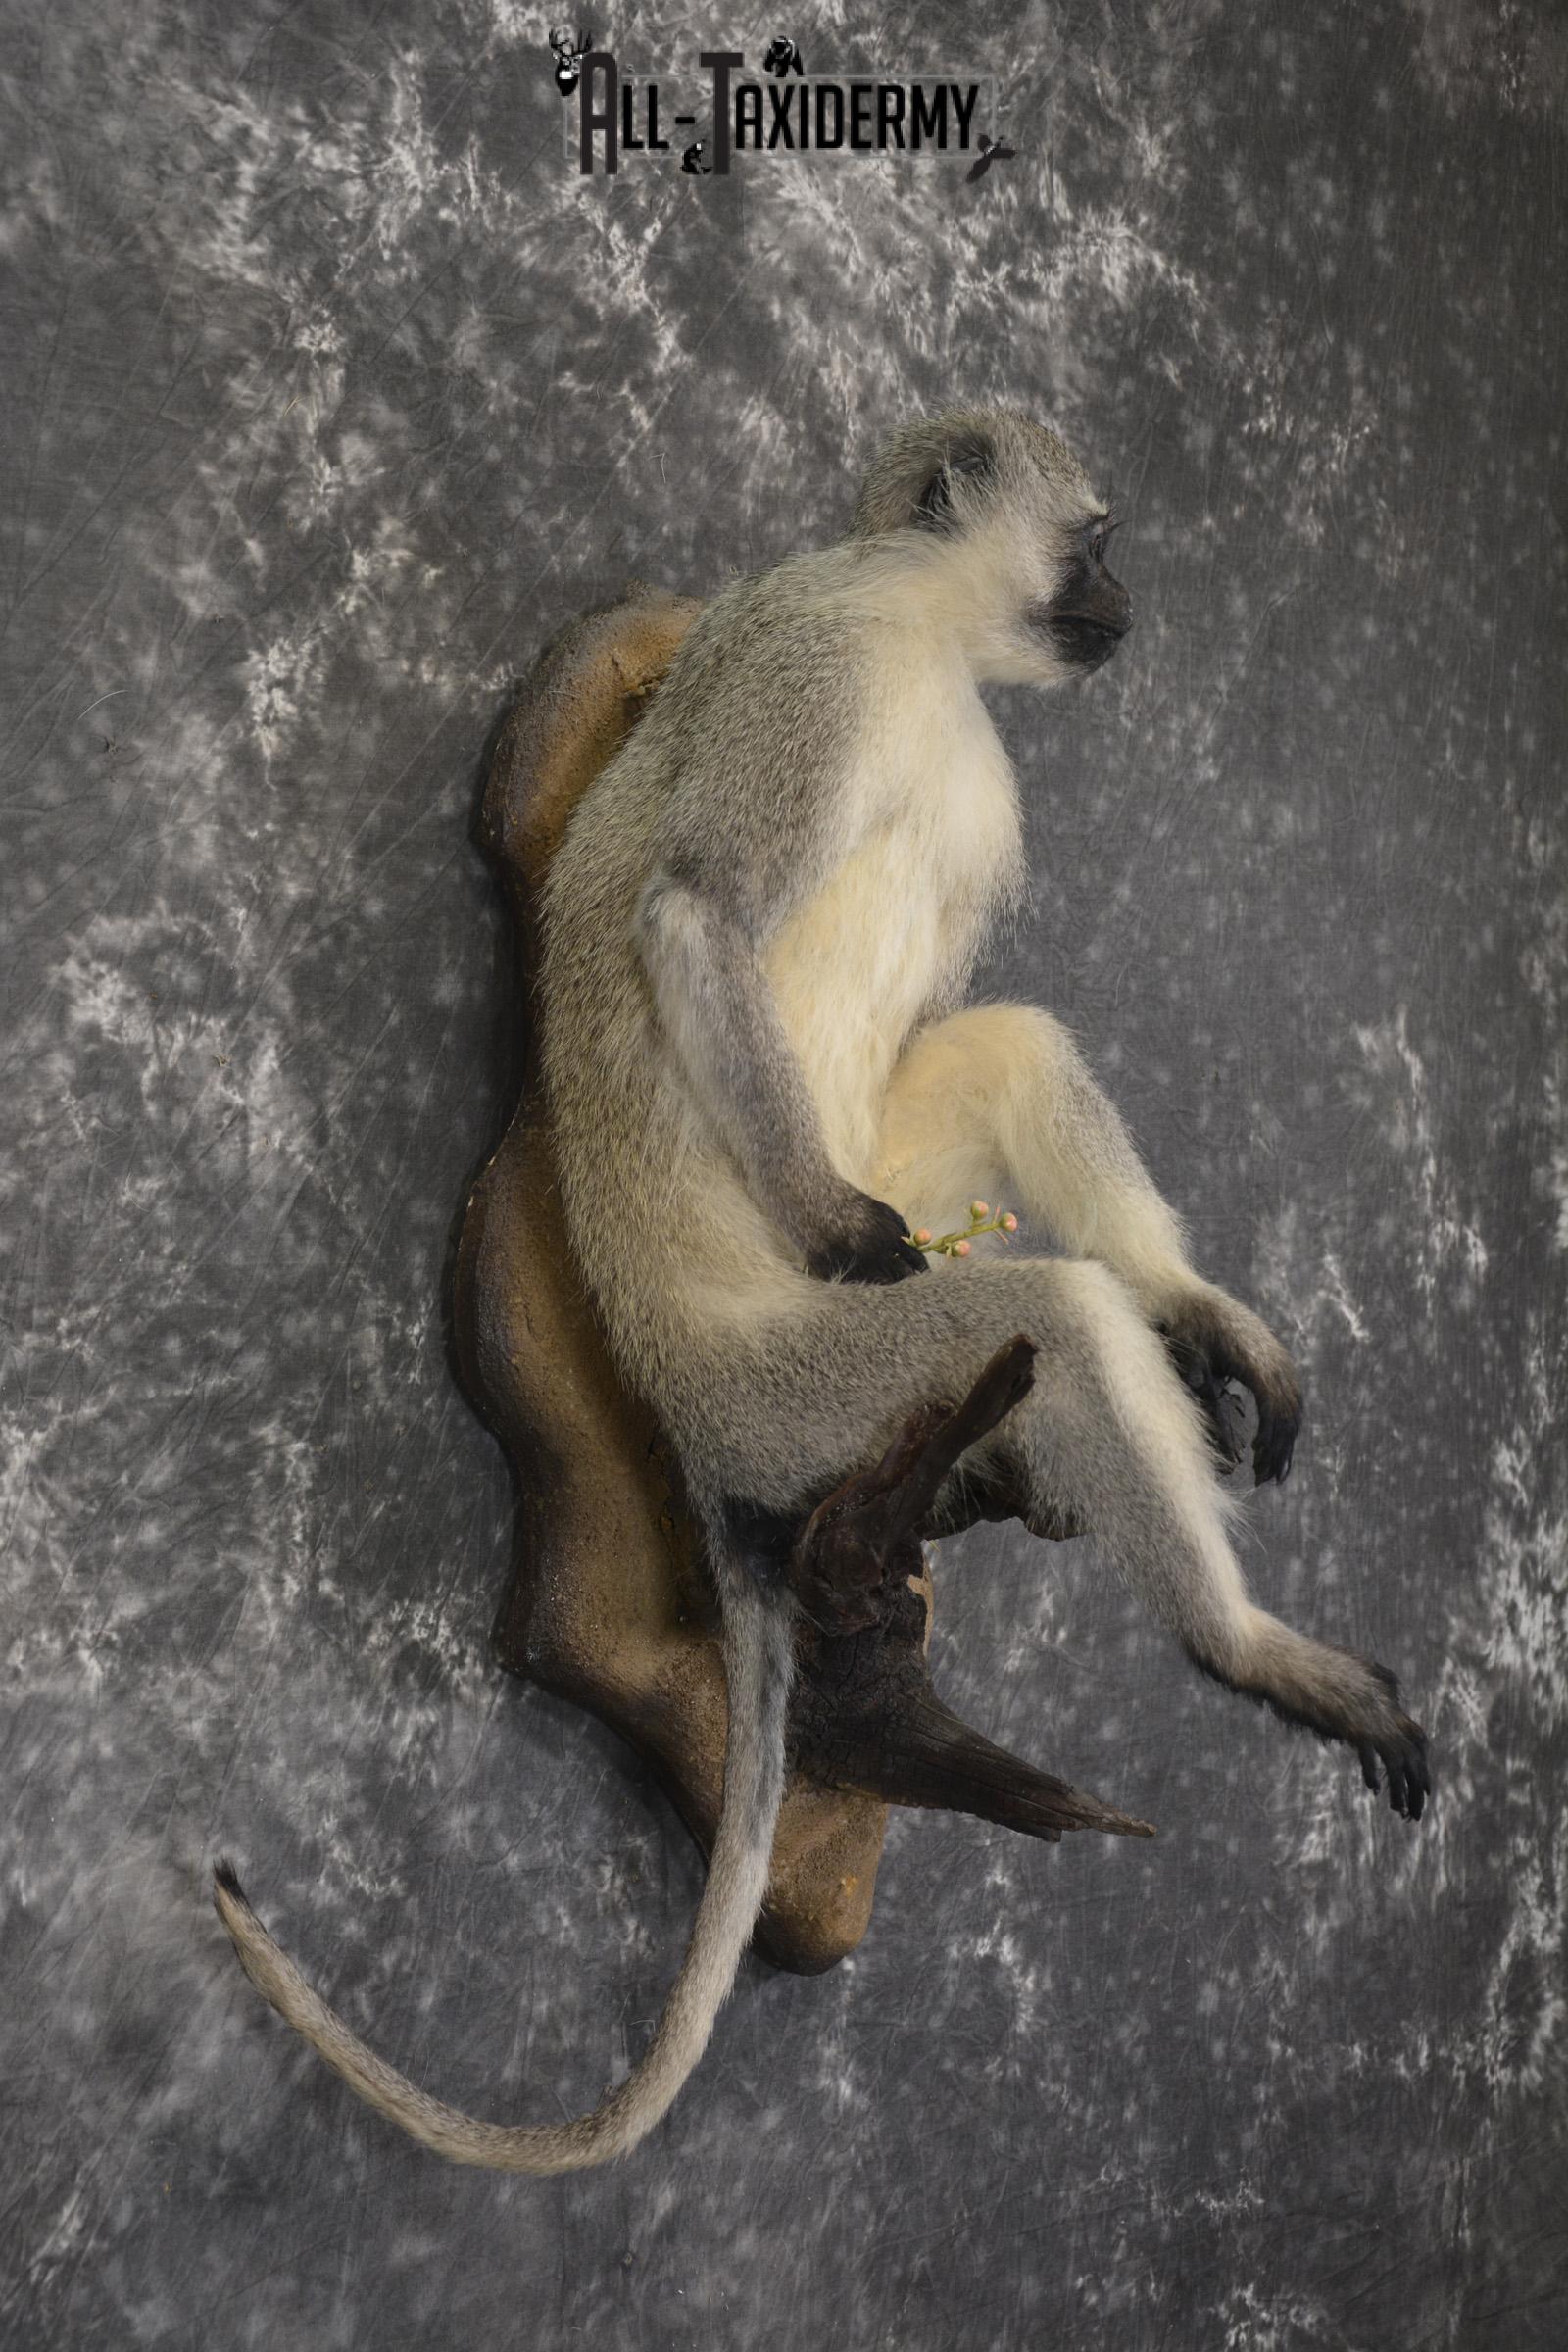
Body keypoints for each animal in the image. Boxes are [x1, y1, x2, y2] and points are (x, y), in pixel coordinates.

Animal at [214, 406, 1430, 2173]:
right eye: (1096, 541)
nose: (1128, 604)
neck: (923, 641)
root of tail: (688, 1419)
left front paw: (1209, 1326)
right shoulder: (818, 665)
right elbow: (696, 914)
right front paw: (828, 1224)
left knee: (1018, 1050)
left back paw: (1186, 1319)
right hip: (806, 1390)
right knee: (1048, 1321)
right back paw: (1248, 1648)